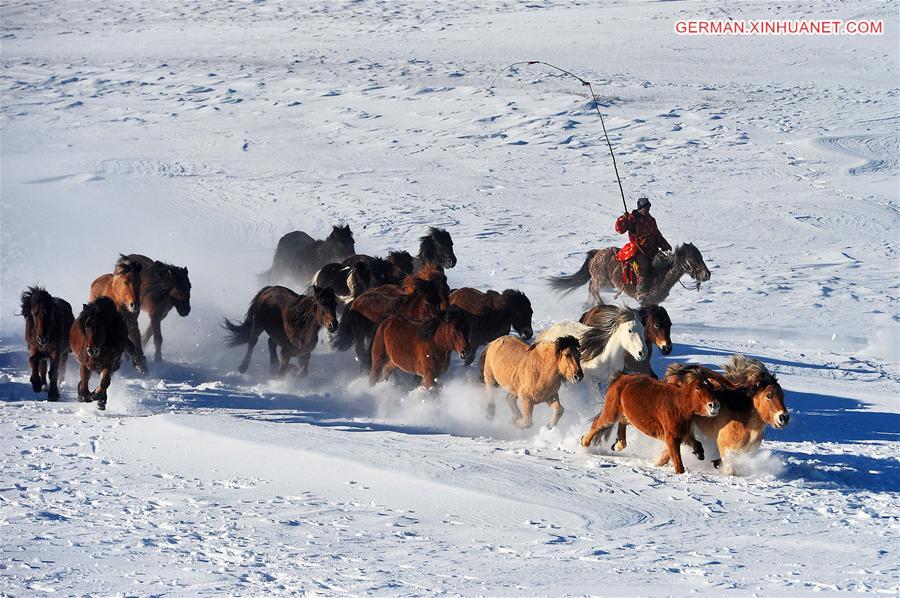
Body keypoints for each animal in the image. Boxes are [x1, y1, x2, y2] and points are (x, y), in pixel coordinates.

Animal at [548, 244, 712, 308]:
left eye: (701, 256)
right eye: (693, 259)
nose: (707, 274)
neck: (660, 275)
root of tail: (597, 253)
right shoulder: (644, 301)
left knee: (590, 288)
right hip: (602, 279)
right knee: (592, 288)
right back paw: (601, 305)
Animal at [580, 370, 720, 474]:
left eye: (712, 388)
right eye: (698, 388)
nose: (714, 405)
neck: (679, 405)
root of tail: (621, 377)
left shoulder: (684, 435)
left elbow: (696, 444)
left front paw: (699, 453)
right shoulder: (672, 437)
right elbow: (678, 464)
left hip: (626, 416)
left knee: (621, 427)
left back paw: (617, 445)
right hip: (611, 413)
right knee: (597, 425)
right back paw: (584, 443)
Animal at [660, 356, 788, 478]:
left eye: (782, 395)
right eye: (769, 395)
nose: (784, 418)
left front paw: (715, 462)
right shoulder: (725, 446)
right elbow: (730, 470)